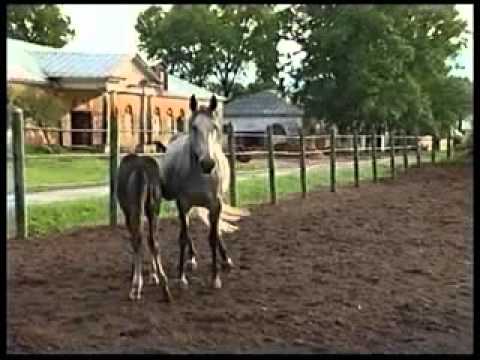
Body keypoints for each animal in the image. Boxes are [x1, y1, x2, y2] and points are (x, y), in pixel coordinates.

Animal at [116, 153, 172, 300]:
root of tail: (141, 171)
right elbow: (149, 240)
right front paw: (154, 276)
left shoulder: (128, 214)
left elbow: (134, 240)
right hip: (154, 208)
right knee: (153, 240)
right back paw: (165, 287)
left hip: (136, 210)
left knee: (139, 239)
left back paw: (135, 288)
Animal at [159, 94, 248, 288]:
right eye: (194, 127)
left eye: (214, 127)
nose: (208, 163)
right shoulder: (182, 204)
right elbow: (183, 237)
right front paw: (181, 277)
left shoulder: (215, 205)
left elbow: (213, 237)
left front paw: (215, 277)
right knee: (187, 232)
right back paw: (191, 260)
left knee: (215, 230)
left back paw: (226, 260)